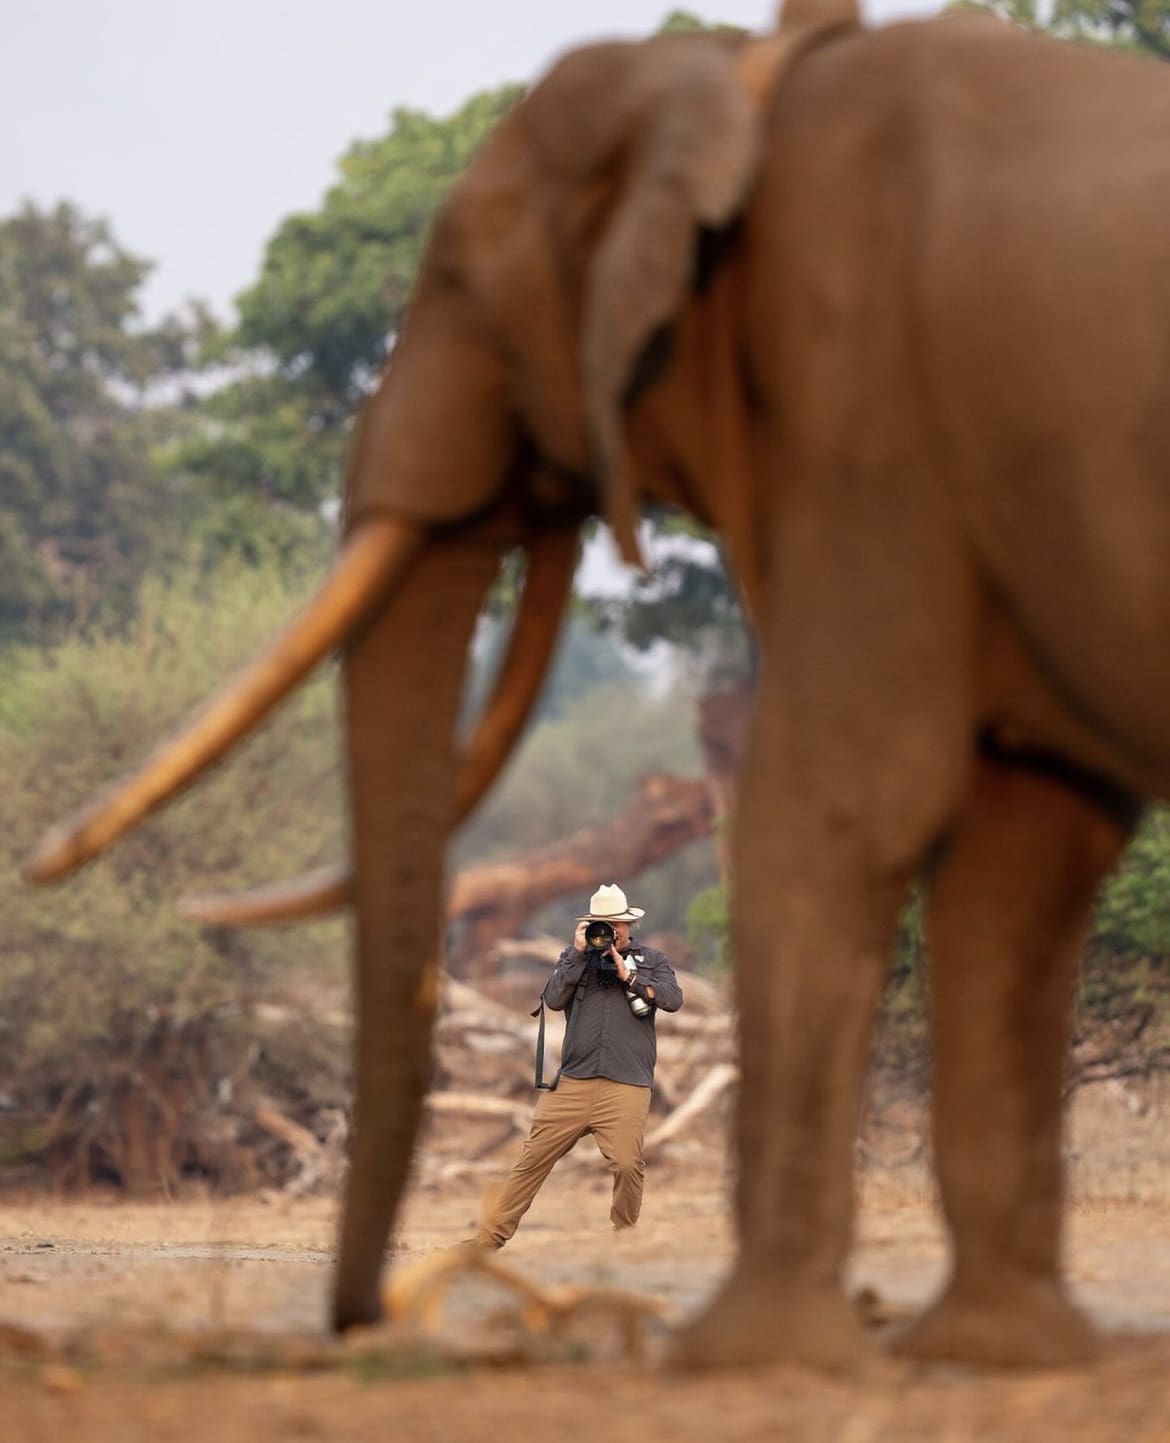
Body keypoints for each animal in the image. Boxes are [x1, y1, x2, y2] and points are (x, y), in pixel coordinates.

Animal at [23, 0, 1170, 1369]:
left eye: (461, 284)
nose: (367, 1324)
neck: (738, 71)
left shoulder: (869, 438)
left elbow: (832, 806)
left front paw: (751, 1357)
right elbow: (1020, 844)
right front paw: (990, 1352)